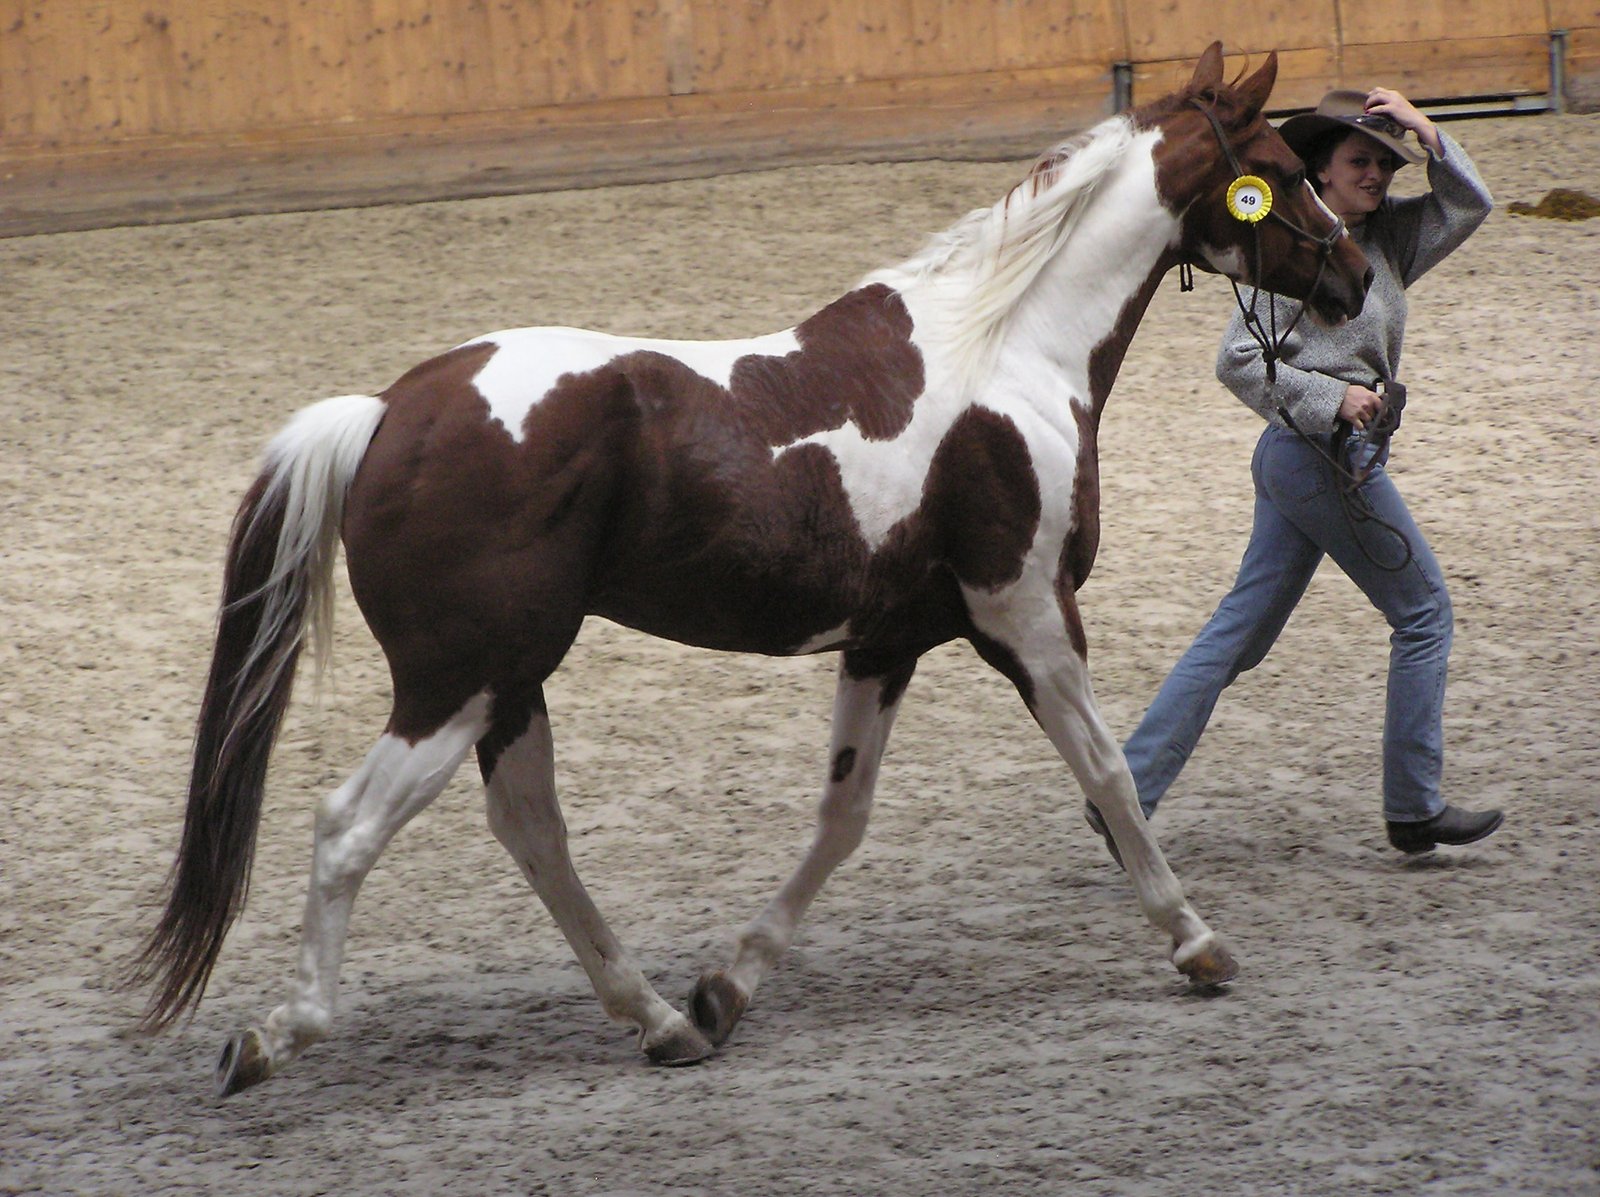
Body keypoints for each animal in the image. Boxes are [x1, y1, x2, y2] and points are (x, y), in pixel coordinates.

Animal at [129, 43, 1370, 1097]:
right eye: (1275, 174)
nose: (1355, 278)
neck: (1006, 352)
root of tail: (387, 411)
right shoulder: (1026, 613)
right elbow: (1110, 776)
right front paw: (1198, 944)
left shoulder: (886, 641)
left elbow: (842, 818)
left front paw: (726, 986)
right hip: (458, 682)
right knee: (349, 829)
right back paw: (273, 1037)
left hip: (508, 680)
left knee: (532, 832)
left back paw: (661, 1021)